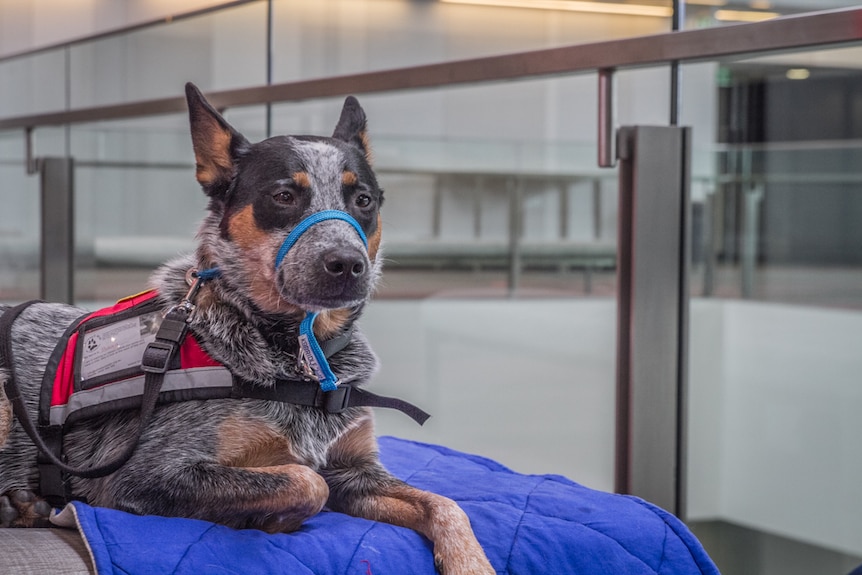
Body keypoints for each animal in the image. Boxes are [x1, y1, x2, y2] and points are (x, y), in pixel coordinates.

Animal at [0, 82, 496, 575]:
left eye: (364, 200)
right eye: (284, 196)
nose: (348, 264)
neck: (300, 357)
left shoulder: (356, 471)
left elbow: (446, 504)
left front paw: (471, 563)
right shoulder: (142, 476)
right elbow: (306, 481)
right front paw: (267, 519)